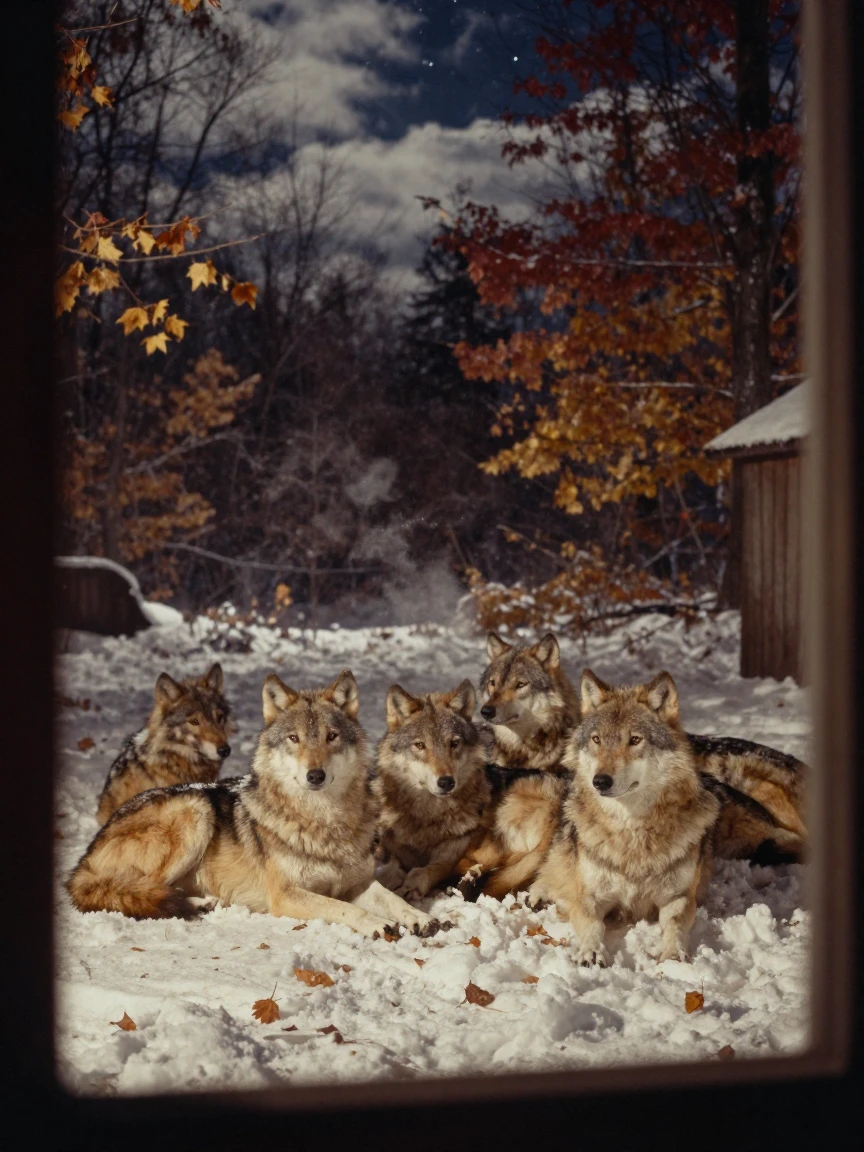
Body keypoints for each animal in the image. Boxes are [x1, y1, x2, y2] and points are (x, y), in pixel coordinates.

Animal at [374, 680, 491, 900]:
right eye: (420, 745)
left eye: (454, 743)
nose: (446, 782)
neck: (427, 816)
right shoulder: (391, 849)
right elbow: (390, 867)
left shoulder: (450, 857)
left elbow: (427, 870)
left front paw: (411, 885)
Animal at [528, 669, 720, 967]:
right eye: (596, 740)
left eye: (635, 740)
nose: (600, 781)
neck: (632, 833)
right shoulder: (590, 896)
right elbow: (593, 923)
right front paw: (591, 952)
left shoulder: (678, 897)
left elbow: (675, 925)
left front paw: (673, 954)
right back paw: (540, 894)